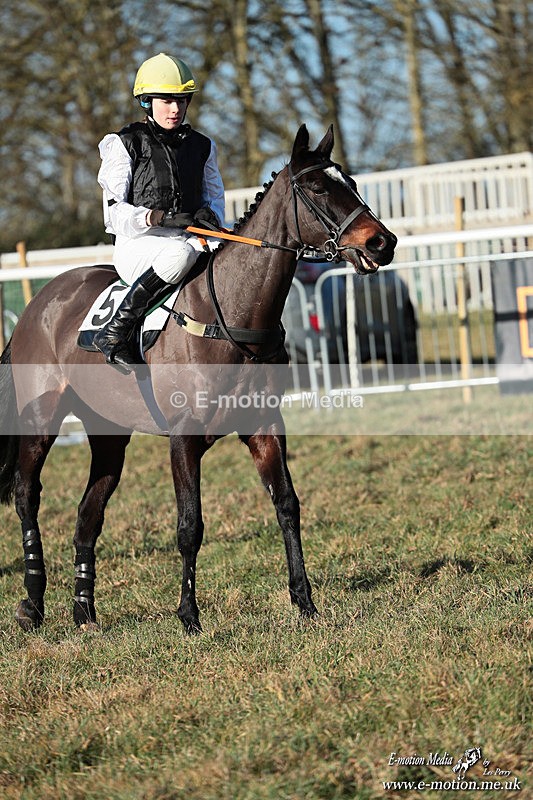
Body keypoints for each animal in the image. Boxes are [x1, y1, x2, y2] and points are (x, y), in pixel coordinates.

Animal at [0, 125, 397, 633]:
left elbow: (287, 505)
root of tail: (37, 304)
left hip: (109, 434)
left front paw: (304, 603)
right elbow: (190, 525)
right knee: (27, 496)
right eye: (316, 187)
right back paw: (32, 603)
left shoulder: (265, 427)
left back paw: (84, 612)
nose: (382, 242)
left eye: (350, 181)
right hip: (40, 422)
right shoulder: (184, 438)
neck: (228, 315)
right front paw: (189, 615)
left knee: (89, 512)